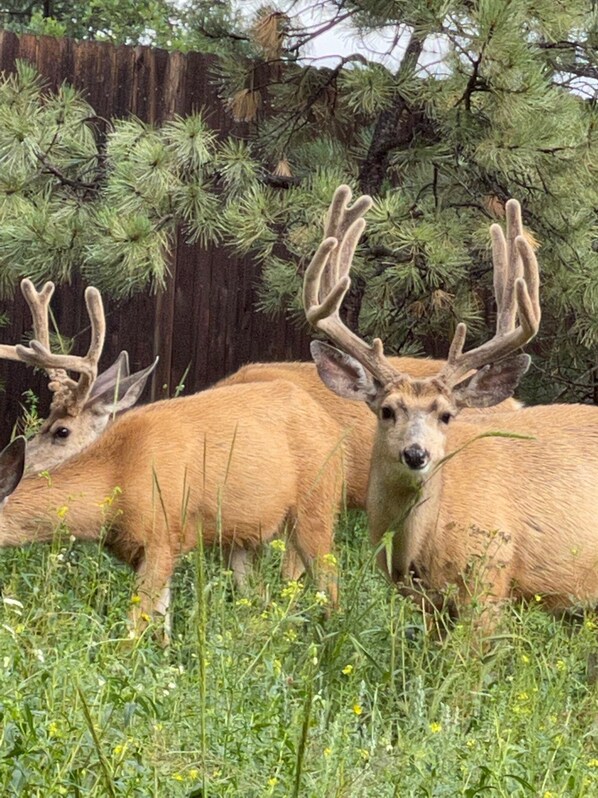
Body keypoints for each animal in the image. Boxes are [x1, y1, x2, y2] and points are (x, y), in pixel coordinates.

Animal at [0, 374, 346, 641]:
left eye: (61, 431)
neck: (117, 474)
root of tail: (330, 424)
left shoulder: (163, 538)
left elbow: (132, 629)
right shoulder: (149, 550)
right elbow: (161, 625)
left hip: (317, 505)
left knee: (330, 583)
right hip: (239, 539)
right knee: (258, 597)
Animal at [303, 185, 598, 630]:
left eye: (446, 415)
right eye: (387, 410)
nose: (416, 453)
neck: (420, 547)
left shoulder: (489, 580)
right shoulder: (426, 605)